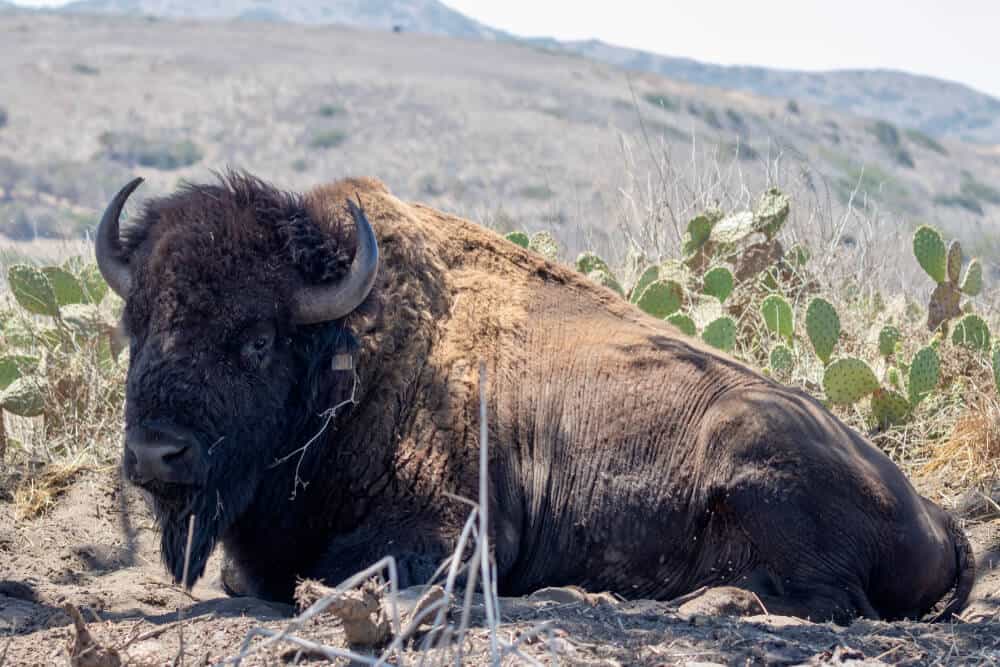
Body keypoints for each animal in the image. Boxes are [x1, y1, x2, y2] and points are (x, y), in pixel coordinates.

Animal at [97, 174, 972, 628]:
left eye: (256, 338)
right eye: (137, 323)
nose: (155, 452)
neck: (355, 348)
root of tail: (935, 508)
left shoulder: (450, 528)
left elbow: (344, 568)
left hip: (753, 447)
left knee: (828, 599)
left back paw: (696, 603)